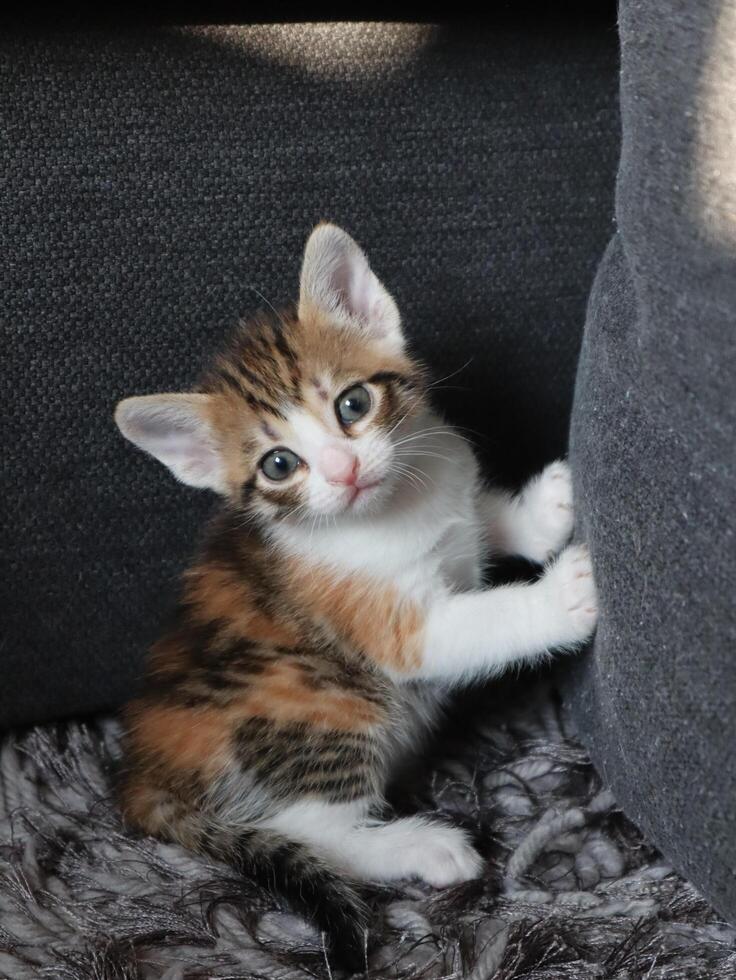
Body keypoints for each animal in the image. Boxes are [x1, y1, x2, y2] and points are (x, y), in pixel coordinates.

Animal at [116, 224, 600, 972]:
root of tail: (141, 776)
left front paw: (542, 509)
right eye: (279, 464)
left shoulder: (449, 492)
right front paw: (564, 593)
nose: (343, 472)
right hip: (319, 701)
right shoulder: (393, 626)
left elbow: (480, 519)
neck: (398, 509)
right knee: (314, 829)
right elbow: (477, 624)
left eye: (353, 404)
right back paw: (424, 846)